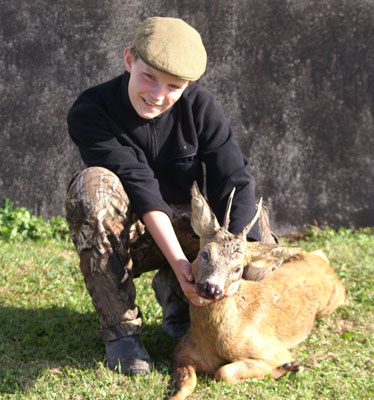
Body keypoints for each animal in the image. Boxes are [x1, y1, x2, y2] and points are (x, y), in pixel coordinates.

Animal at [169, 184, 344, 400]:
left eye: (238, 268)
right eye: (205, 253)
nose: (211, 288)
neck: (214, 340)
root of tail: (322, 260)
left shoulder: (273, 349)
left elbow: (224, 372)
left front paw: (287, 367)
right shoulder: (181, 353)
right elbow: (186, 385)